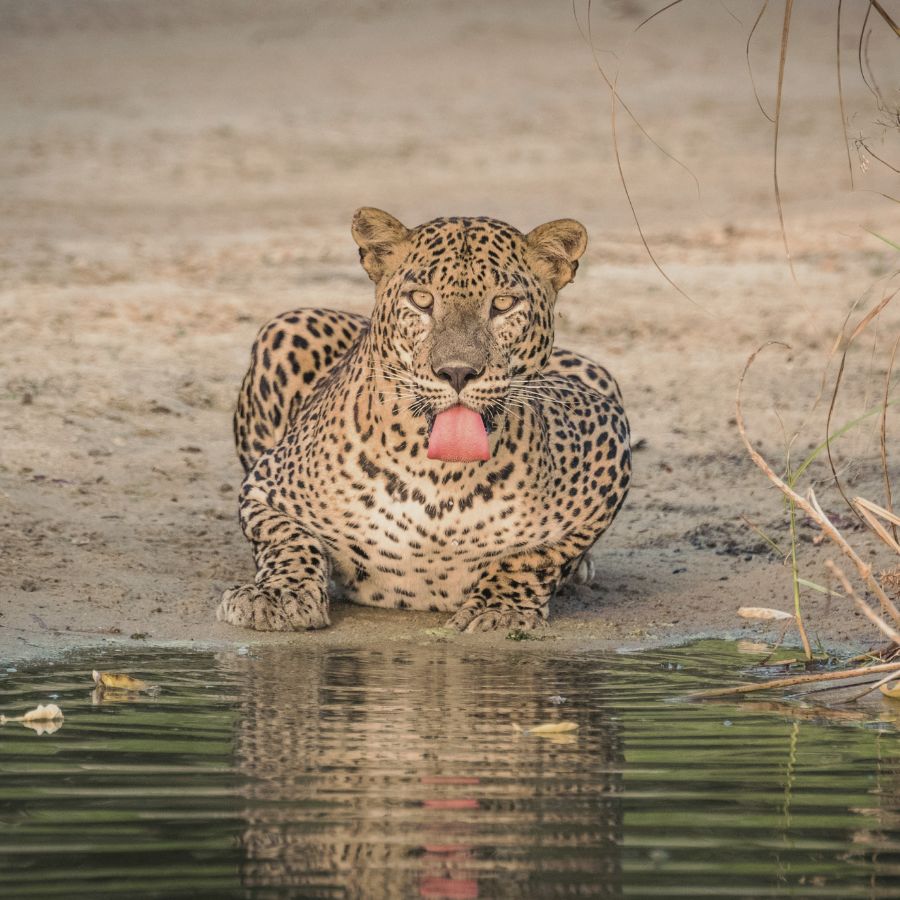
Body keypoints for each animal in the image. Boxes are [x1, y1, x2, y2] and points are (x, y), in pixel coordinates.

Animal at [217, 207, 631, 633]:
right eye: (421, 300)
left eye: (502, 304)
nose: (457, 372)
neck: (441, 479)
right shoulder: (266, 487)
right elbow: (289, 539)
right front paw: (278, 596)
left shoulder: (607, 436)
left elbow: (536, 556)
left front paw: (497, 609)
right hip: (287, 325)